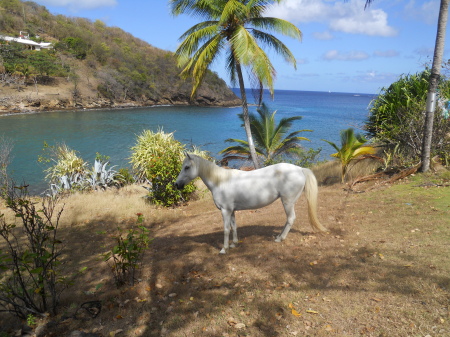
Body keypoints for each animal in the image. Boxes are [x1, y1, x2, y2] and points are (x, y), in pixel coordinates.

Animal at [173, 152, 326, 252]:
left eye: (187, 167)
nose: (176, 184)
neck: (220, 181)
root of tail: (300, 169)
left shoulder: (225, 211)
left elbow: (226, 229)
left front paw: (224, 249)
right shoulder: (231, 211)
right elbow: (234, 227)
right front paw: (234, 244)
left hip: (287, 202)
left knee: (290, 219)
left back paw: (280, 238)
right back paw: (278, 236)